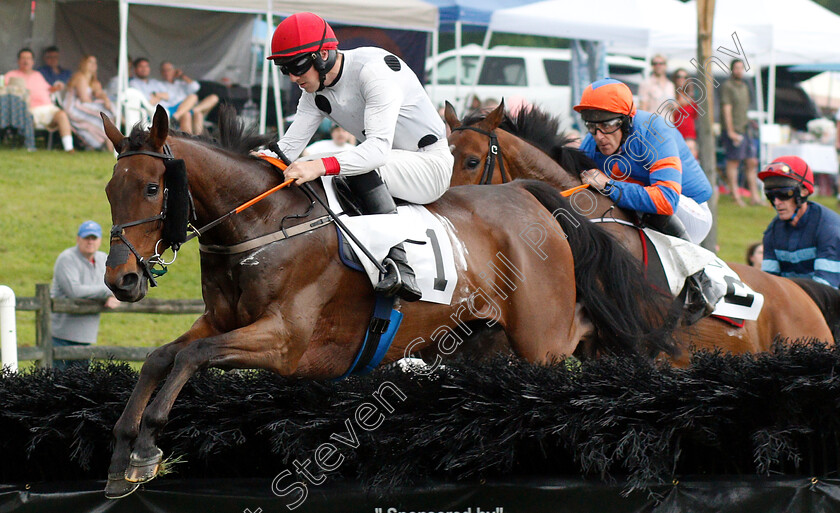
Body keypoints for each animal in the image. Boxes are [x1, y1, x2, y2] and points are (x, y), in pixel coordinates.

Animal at [100, 105, 676, 496]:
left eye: (152, 189)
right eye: (110, 189)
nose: (120, 280)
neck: (261, 225)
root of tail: (525, 194)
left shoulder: (285, 342)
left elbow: (192, 358)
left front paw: (147, 446)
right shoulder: (221, 321)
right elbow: (162, 357)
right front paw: (122, 448)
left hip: (541, 339)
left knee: (581, 332)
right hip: (482, 344)